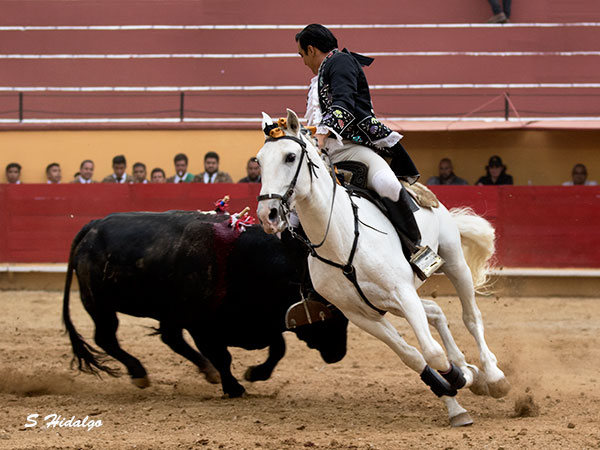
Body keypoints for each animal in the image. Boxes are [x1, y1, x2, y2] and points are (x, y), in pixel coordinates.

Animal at [62, 209, 346, 396]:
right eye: (330, 312)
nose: (338, 354)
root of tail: (94, 225)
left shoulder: (263, 323)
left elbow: (278, 349)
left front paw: (254, 374)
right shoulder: (202, 327)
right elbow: (224, 357)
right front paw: (234, 388)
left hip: (165, 312)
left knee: (169, 338)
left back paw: (205, 371)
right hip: (100, 305)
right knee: (106, 338)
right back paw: (139, 373)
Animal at [255, 109, 508, 426]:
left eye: (290, 157)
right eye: (259, 161)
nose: (268, 214)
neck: (341, 239)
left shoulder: (403, 294)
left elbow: (432, 352)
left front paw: (466, 379)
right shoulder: (361, 314)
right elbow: (413, 356)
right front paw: (456, 398)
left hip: (452, 261)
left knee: (471, 316)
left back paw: (493, 376)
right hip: (387, 302)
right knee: (435, 312)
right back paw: (467, 366)